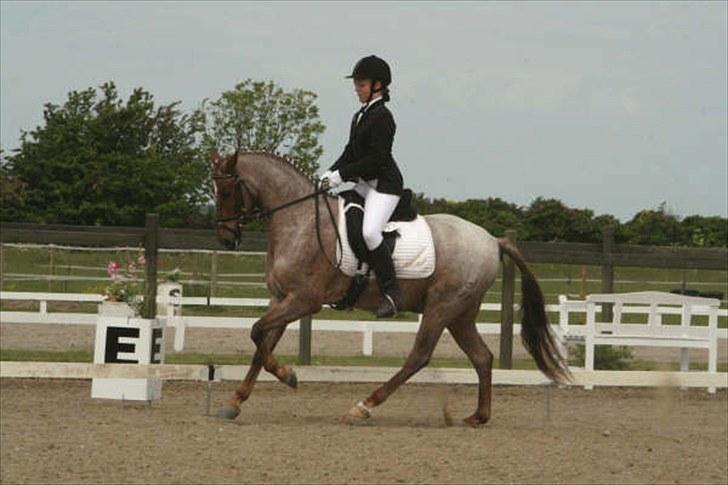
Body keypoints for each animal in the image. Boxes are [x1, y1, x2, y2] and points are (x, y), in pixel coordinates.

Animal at [212, 151, 570, 427]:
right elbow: (261, 343)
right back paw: (478, 416)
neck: (299, 220)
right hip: (461, 314)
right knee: (482, 357)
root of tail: (492, 240)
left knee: (419, 357)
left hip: (441, 307)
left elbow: (257, 333)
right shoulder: (281, 299)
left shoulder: (303, 300)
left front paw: (288, 376)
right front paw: (235, 402)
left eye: (227, 192)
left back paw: (364, 406)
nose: (226, 239)